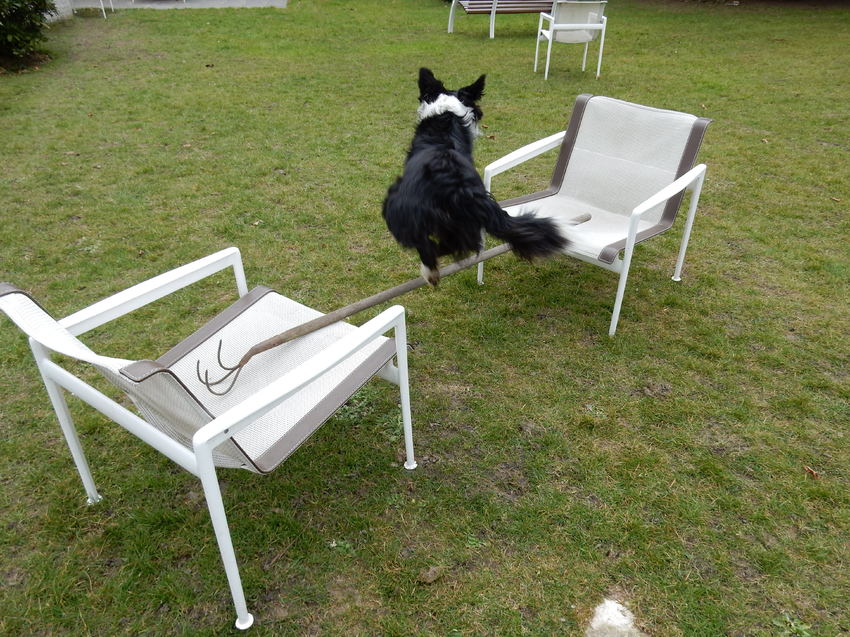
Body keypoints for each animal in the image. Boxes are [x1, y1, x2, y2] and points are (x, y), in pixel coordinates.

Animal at [382, 68, 568, 286]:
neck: (446, 118)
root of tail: (459, 187)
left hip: (398, 208)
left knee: (427, 245)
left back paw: (429, 273)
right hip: (465, 226)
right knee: (458, 245)